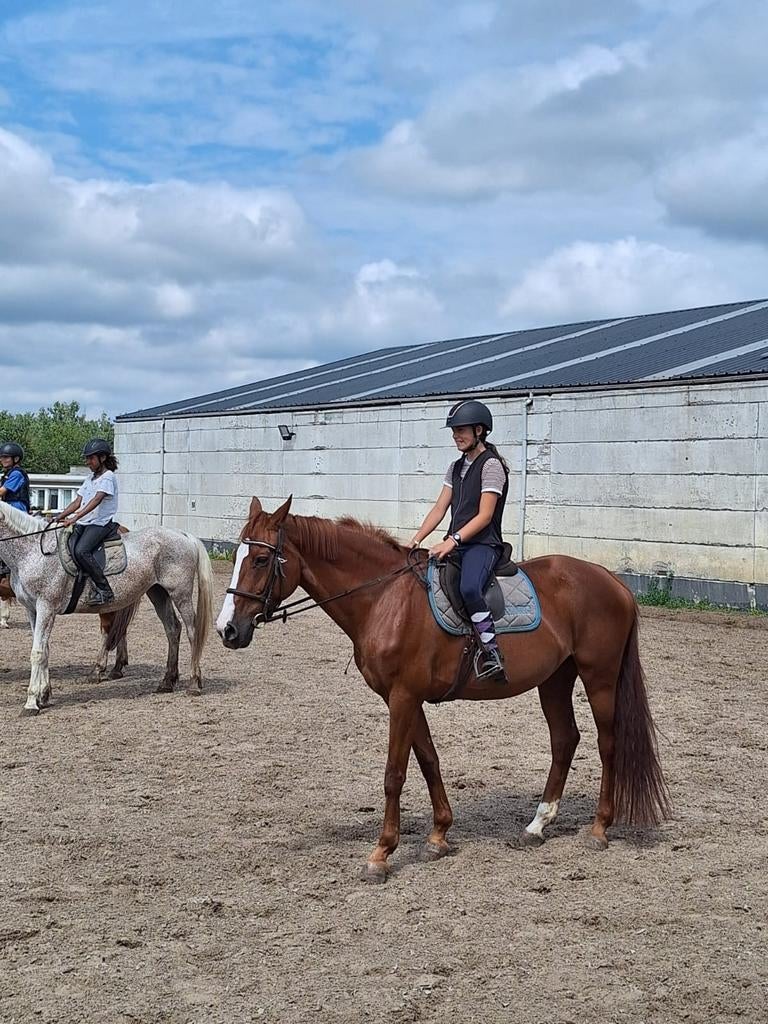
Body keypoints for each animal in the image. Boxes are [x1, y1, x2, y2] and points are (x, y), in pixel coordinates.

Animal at [218, 496, 670, 882]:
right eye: (239, 557)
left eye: (261, 559)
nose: (227, 630)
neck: (383, 597)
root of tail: (613, 582)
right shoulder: (406, 697)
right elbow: (429, 761)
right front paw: (438, 836)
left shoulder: (402, 698)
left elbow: (395, 773)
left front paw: (381, 854)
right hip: (555, 679)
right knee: (565, 740)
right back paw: (537, 825)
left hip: (599, 677)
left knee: (607, 744)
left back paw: (599, 828)